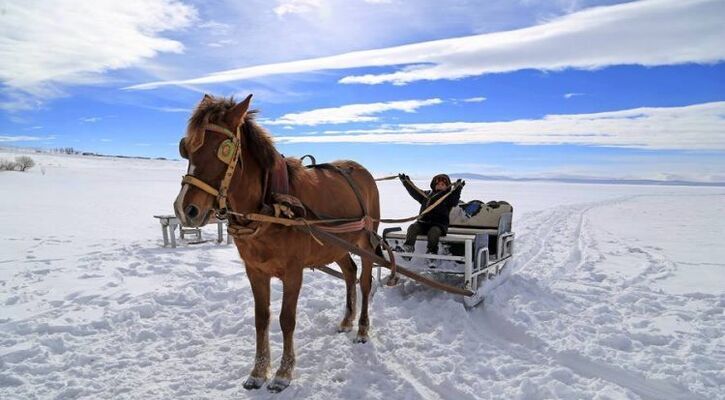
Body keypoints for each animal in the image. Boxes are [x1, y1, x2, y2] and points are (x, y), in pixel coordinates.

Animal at [173, 93, 382, 390]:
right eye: (187, 148)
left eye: (222, 149)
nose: (185, 209)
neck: (270, 206)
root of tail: (363, 171)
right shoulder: (255, 271)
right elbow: (261, 318)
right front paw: (258, 371)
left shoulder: (293, 272)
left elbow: (286, 320)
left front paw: (283, 373)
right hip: (338, 244)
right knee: (349, 273)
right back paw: (346, 320)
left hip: (366, 241)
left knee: (364, 281)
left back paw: (362, 329)